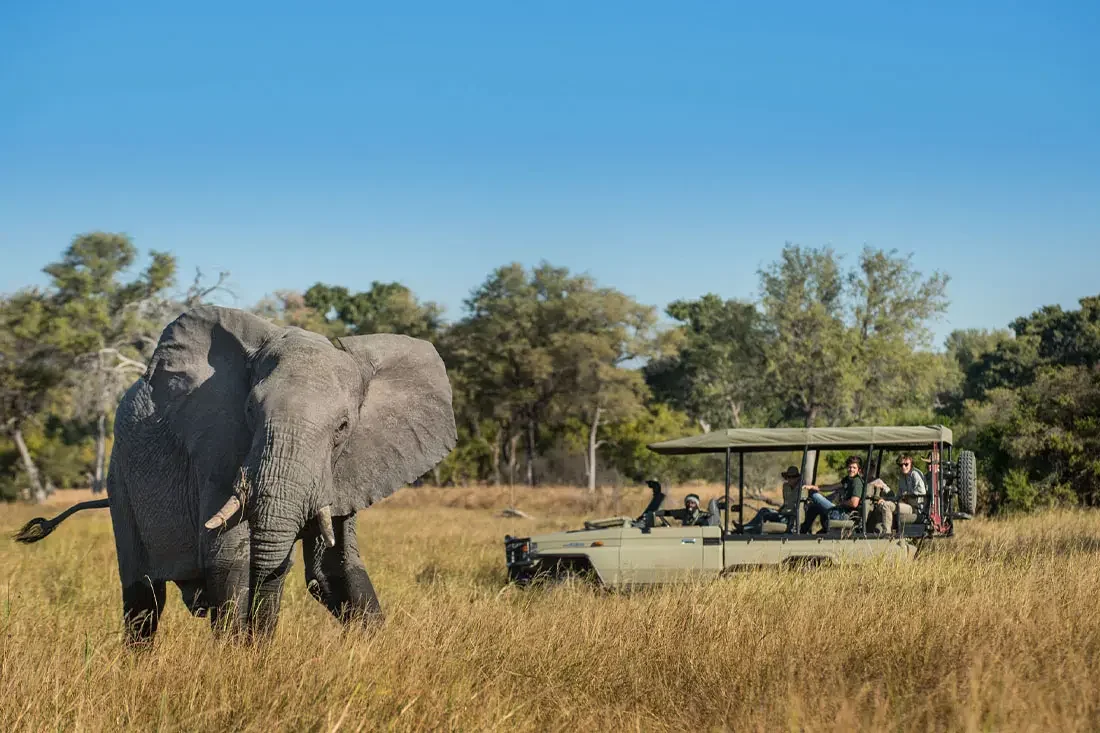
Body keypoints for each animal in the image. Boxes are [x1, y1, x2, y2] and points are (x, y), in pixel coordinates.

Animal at [14, 305, 456, 645]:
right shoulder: (215, 447)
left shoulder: (350, 467)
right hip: (119, 474)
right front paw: (237, 660)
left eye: (343, 428)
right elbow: (230, 558)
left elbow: (336, 568)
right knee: (143, 596)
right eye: (249, 411)